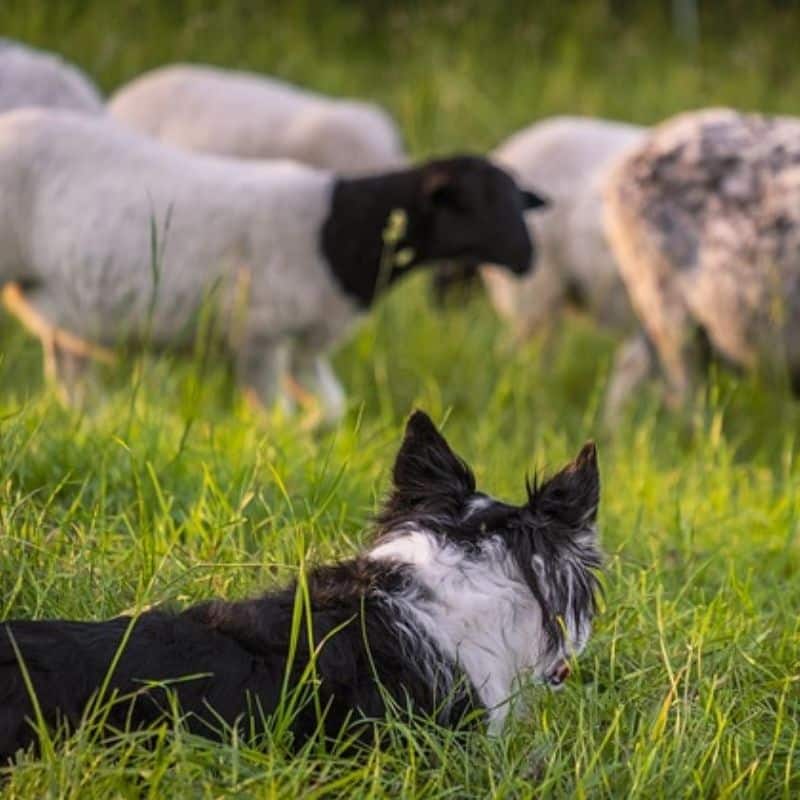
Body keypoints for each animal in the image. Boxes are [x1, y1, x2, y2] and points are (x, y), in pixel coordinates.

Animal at [0, 110, 544, 422]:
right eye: (470, 204)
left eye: (518, 201)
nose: (527, 259)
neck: (339, 231)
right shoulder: (260, 336)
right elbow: (272, 416)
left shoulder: (306, 343)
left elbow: (331, 407)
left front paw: (310, 440)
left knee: (71, 379)